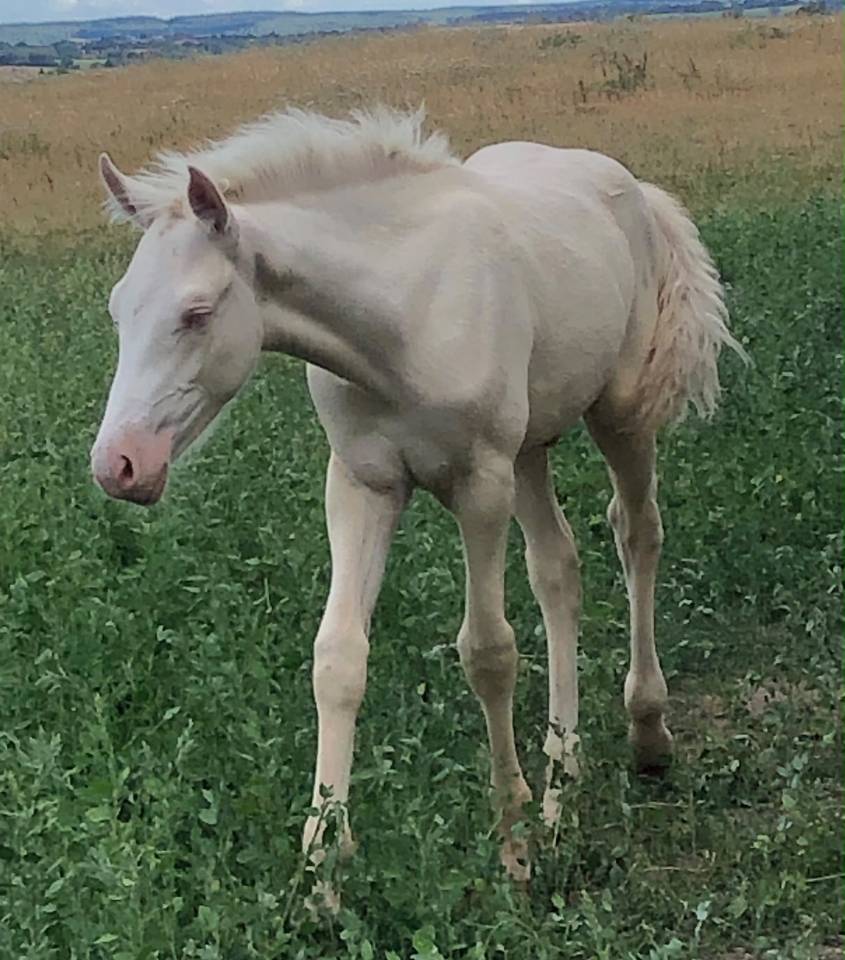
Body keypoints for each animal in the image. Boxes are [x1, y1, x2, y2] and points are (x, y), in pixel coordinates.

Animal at [90, 107, 745, 887]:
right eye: (118, 310)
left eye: (195, 313)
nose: (119, 464)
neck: (403, 315)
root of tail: (634, 188)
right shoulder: (361, 483)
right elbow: (338, 658)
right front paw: (322, 868)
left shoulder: (480, 484)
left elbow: (488, 652)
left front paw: (512, 841)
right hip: (529, 447)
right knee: (557, 569)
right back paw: (563, 785)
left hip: (617, 416)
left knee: (635, 530)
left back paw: (646, 733)